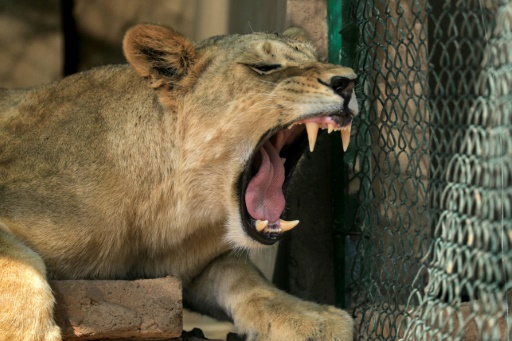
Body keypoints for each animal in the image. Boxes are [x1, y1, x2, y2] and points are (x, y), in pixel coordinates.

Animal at [0, 24, 358, 340]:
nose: (349, 82)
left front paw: (314, 318)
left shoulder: (200, 264)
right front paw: (27, 332)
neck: (170, 205)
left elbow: (249, 281)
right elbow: (16, 263)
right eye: (265, 67)